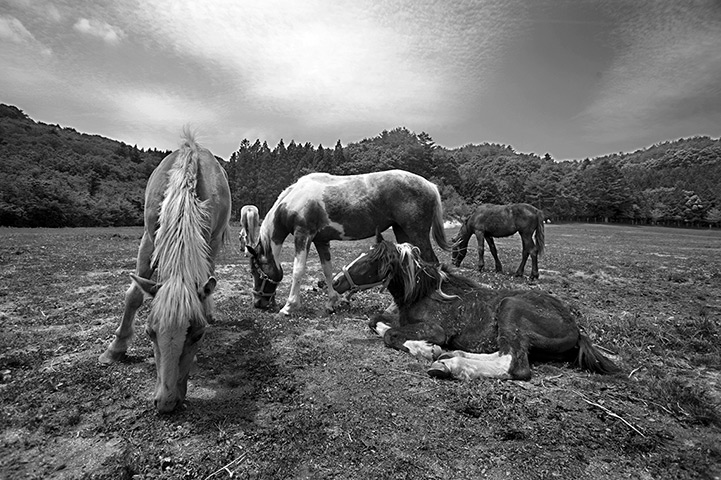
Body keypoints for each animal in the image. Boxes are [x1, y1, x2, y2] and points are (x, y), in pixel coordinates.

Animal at [98, 130, 231, 412]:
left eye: (197, 335)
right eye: (149, 332)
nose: (166, 402)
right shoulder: (149, 238)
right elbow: (134, 295)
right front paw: (115, 350)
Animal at [248, 169, 450, 316]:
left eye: (255, 272)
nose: (258, 303)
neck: (294, 200)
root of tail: (430, 185)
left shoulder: (302, 235)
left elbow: (298, 270)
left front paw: (288, 307)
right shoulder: (321, 241)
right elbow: (327, 271)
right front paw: (331, 303)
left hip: (417, 233)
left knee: (431, 264)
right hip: (402, 232)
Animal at [332, 233, 620, 382]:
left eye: (368, 261)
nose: (335, 281)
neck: (423, 293)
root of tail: (577, 330)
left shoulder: (435, 329)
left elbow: (391, 335)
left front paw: (426, 349)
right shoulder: (397, 318)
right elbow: (375, 321)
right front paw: (428, 349)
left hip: (510, 309)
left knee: (514, 364)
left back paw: (449, 364)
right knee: (504, 352)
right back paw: (451, 357)